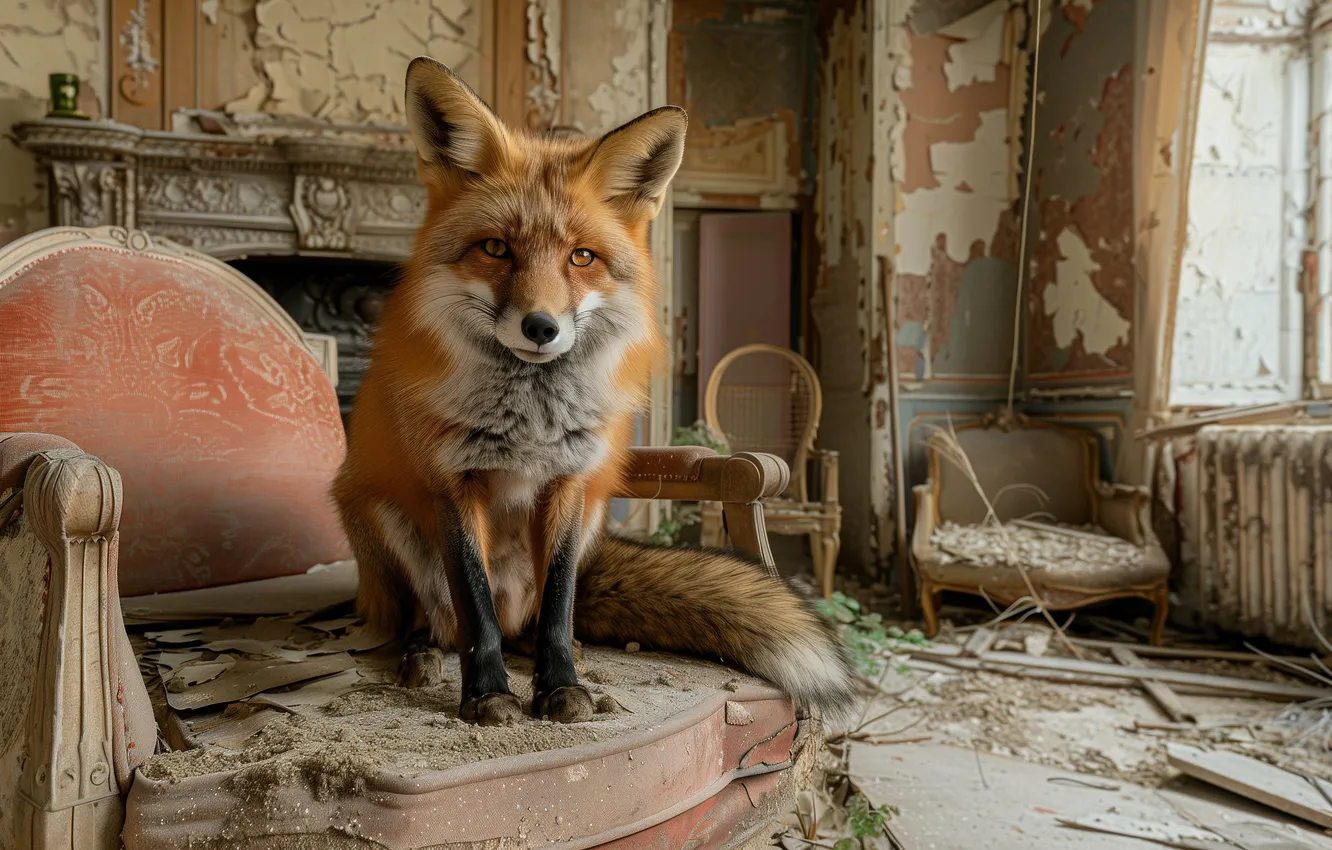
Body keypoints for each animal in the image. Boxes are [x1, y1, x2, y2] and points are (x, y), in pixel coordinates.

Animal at [330, 56, 856, 728]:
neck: (530, 420)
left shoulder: (571, 481)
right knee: (441, 616)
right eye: (496, 248)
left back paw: (559, 650)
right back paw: (423, 653)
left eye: (582, 257)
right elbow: (474, 606)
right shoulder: (453, 483)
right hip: (381, 512)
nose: (541, 327)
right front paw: (488, 693)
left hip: (592, 520)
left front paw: (560, 685)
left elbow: (559, 604)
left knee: (536, 620)